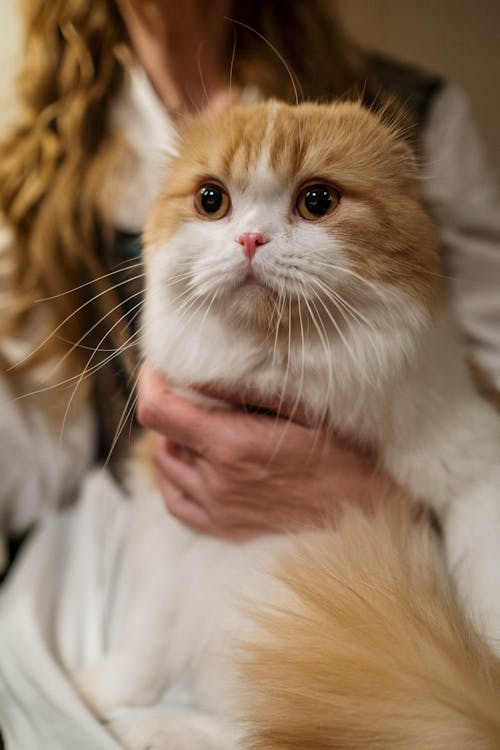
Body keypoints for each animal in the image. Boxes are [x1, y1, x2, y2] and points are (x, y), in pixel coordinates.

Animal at [73, 101, 500, 750]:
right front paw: (97, 693)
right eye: (211, 200)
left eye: (317, 201)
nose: (251, 239)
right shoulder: (172, 522)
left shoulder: (474, 464)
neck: (275, 376)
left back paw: (160, 728)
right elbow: (144, 639)